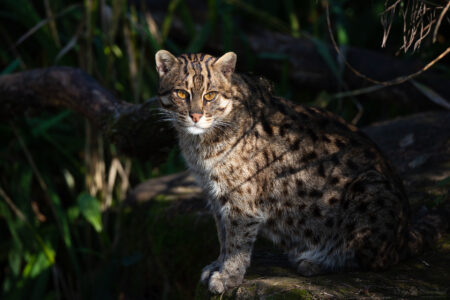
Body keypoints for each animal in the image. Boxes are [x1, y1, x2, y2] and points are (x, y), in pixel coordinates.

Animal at [154, 49, 446, 292]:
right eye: (181, 94)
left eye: (210, 95)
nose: (195, 116)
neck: (200, 143)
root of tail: (404, 232)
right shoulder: (215, 195)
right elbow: (223, 235)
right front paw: (218, 265)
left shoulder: (241, 200)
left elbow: (236, 241)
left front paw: (228, 276)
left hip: (368, 189)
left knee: (376, 258)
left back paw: (318, 261)